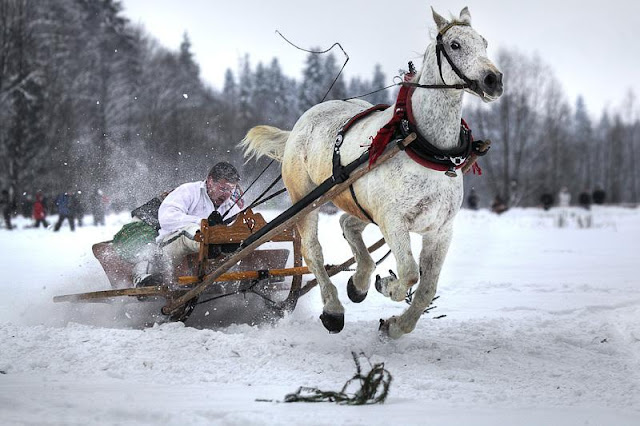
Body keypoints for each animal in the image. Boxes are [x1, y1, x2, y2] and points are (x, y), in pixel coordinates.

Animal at [241, 7, 503, 339]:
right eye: (455, 45)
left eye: (484, 42)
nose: (494, 79)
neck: (427, 147)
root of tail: (301, 123)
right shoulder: (393, 220)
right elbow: (409, 273)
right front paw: (389, 287)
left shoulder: (440, 230)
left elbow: (427, 289)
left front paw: (396, 325)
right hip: (305, 201)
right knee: (313, 252)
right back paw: (334, 309)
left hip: (361, 202)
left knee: (347, 224)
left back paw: (360, 282)